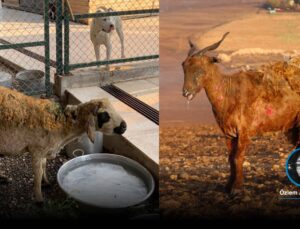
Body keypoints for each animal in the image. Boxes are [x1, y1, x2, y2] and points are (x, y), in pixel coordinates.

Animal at [182, 31, 300, 193]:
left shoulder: (244, 131)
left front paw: (237, 188)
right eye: (184, 66)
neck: (229, 93)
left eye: (200, 69)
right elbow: (231, 158)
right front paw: (228, 186)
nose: (186, 92)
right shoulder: (228, 133)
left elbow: (238, 157)